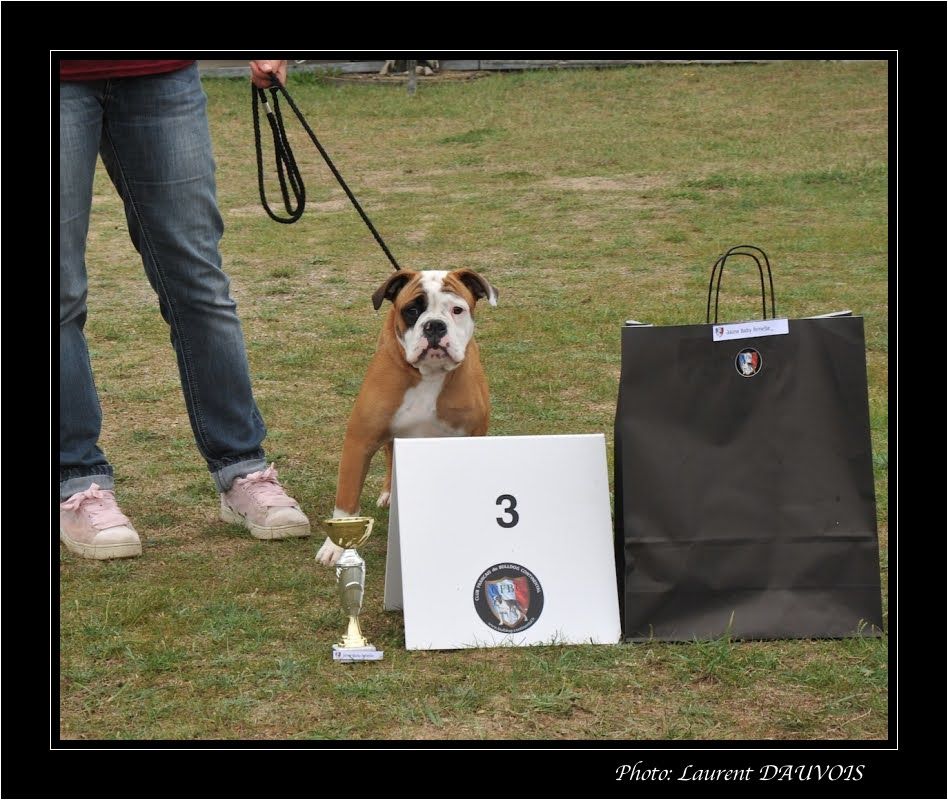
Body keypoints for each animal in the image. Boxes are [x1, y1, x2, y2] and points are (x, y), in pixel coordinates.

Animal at [316, 268, 500, 564]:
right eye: (412, 310)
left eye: (457, 310)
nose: (434, 326)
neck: (429, 374)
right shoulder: (360, 441)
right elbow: (346, 500)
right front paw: (335, 548)